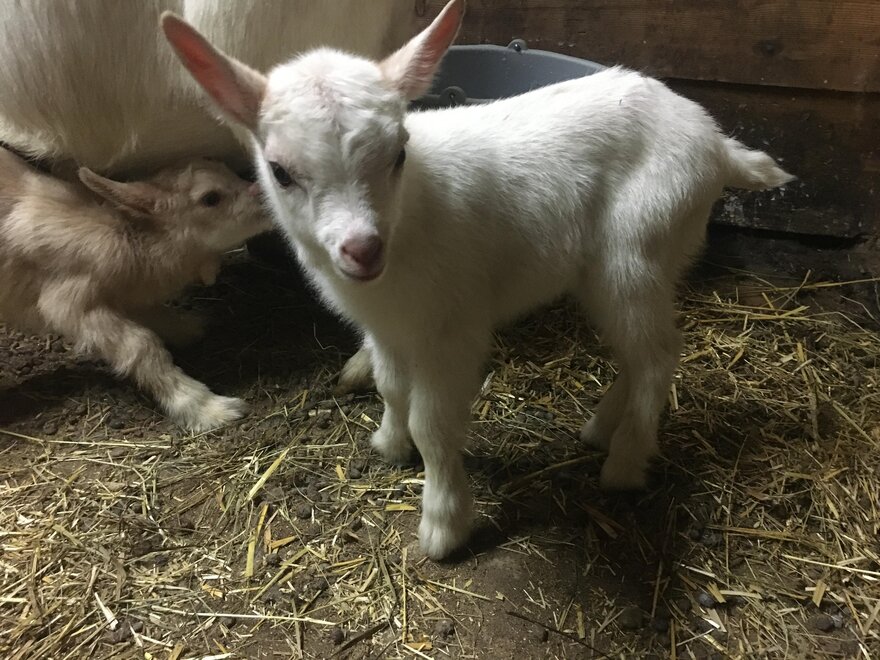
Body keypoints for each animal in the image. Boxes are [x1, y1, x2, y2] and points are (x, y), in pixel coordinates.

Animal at [0, 146, 272, 430]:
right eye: (211, 198)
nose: (266, 193)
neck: (126, 238)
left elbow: (153, 314)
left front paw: (189, 328)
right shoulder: (68, 300)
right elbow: (141, 344)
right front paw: (205, 407)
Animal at [161, 0, 794, 558]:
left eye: (399, 153)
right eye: (280, 171)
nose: (362, 250)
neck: (412, 219)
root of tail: (717, 143)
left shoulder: (454, 326)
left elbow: (435, 423)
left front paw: (444, 525)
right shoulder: (388, 327)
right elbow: (391, 387)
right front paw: (389, 444)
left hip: (638, 251)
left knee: (659, 355)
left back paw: (624, 463)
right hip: (625, 267)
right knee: (638, 353)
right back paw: (600, 429)